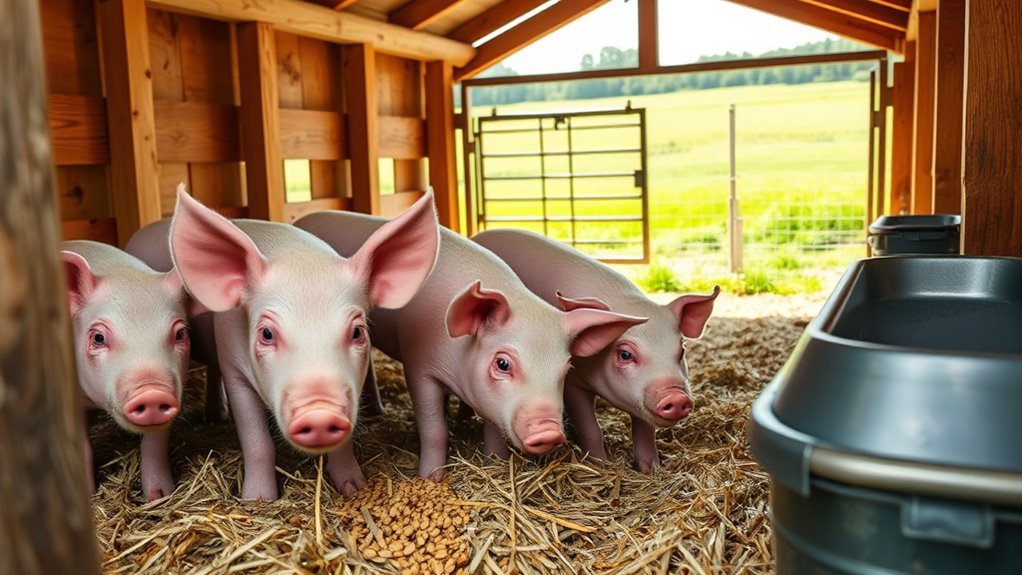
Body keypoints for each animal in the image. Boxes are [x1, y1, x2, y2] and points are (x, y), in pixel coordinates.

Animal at [62, 240, 193, 501]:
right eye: (99, 337)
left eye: (180, 333)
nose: (152, 393)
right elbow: (82, 448)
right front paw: (88, 496)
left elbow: (154, 444)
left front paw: (160, 496)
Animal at [164, 185, 439, 500]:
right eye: (266, 333)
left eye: (357, 332)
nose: (320, 412)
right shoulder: (234, 371)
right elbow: (257, 442)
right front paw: (258, 499)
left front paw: (354, 488)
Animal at [294, 210, 648, 479]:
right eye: (503, 363)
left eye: (566, 369)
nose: (549, 431)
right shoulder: (419, 366)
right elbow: (434, 429)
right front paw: (430, 479)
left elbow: (492, 426)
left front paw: (494, 461)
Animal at [472, 228, 719, 472]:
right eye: (625, 354)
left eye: (681, 351)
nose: (677, 397)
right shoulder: (573, 383)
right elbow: (591, 428)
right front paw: (600, 464)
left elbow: (645, 429)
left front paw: (651, 469)